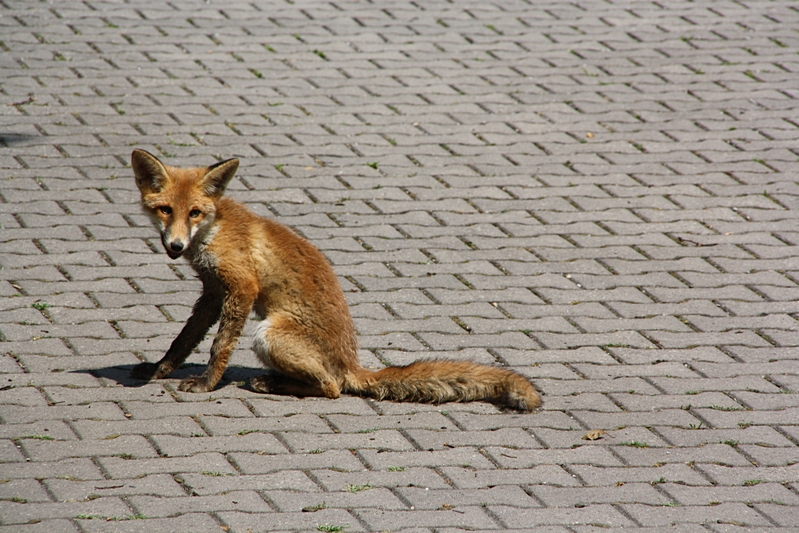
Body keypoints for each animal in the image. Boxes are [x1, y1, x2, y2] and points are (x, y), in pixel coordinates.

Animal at [129, 149, 541, 411]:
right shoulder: (213, 291)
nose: (175, 245)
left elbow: (220, 347)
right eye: (165, 210)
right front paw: (160, 369)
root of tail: (351, 362)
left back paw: (274, 385)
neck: (214, 231)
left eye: (194, 213)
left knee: (333, 388)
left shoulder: (241, 288)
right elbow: (184, 339)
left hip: (268, 333)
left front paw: (206, 384)